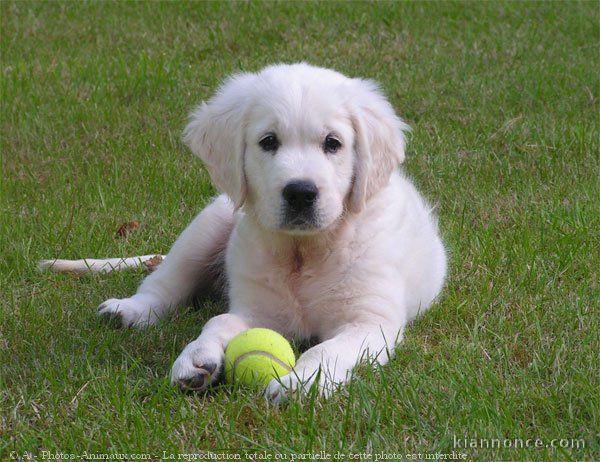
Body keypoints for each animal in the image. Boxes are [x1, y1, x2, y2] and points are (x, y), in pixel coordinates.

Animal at [42, 63, 446, 402]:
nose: (300, 193)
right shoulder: (257, 309)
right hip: (209, 224)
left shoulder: (370, 321)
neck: (304, 251)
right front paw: (197, 356)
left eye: (333, 143)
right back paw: (130, 309)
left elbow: (327, 348)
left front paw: (301, 382)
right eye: (268, 141)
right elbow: (219, 319)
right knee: (165, 282)